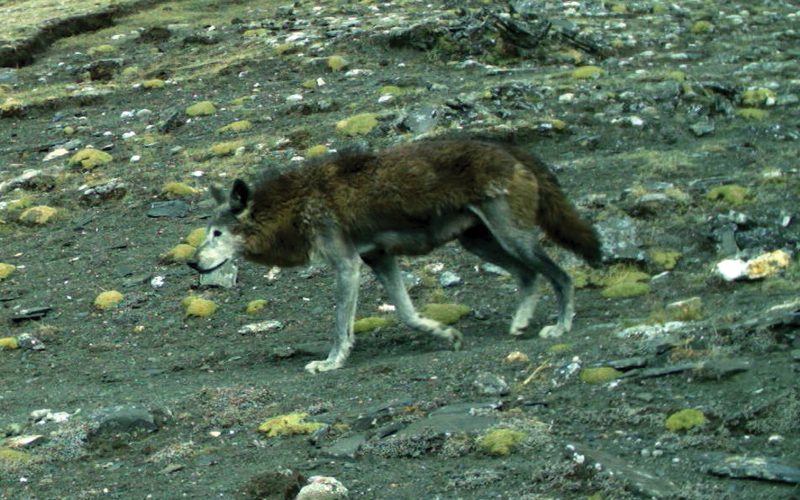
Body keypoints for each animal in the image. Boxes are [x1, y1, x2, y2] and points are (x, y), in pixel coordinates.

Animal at [189, 139, 600, 374]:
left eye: (216, 234)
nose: (192, 262)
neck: (293, 205)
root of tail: (510, 148)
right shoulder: (380, 259)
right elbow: (407, 314)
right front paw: (446, 334)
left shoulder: (348, 266)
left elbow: (341, 326)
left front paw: (331, 362)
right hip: (481, 243)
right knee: (529, 276)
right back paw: (519, 324)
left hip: (512, 239)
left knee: (561, 276)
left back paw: (560, 326)